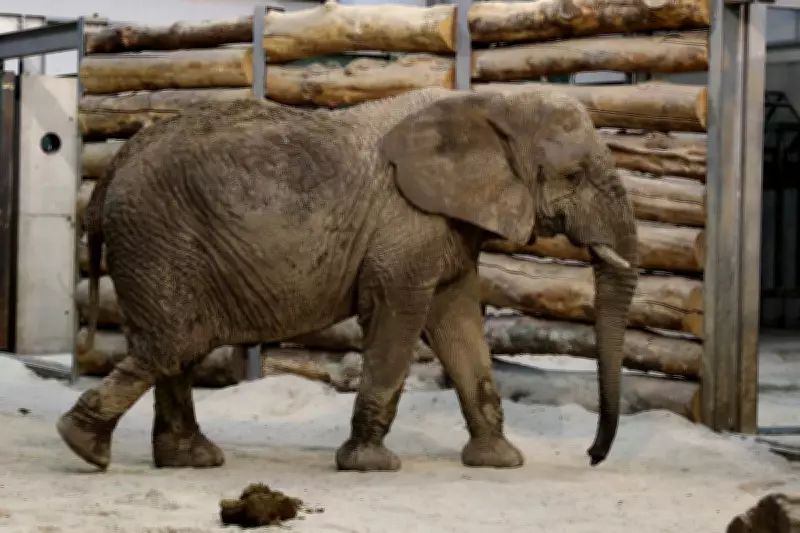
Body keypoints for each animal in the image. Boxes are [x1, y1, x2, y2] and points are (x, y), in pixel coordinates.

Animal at [57, 86, 638, 474]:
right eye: (573, 176)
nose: (591, 456)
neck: (490, 103)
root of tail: (109, 173)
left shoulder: (446, 225)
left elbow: (458, 321)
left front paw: (500, 462)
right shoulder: (407, 223)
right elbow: (398, 315)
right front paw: (371, 465)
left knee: (174, 346)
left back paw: (188, 459)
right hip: (157, 238)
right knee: (177, 340)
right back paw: (84, 447)